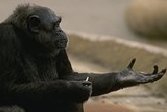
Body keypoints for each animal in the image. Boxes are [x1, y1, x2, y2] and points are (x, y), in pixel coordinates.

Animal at [0, 3, 165, 112]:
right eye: (56, 25)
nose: (61, 31)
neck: (32, 42)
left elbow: (68, 75)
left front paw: (125, 76)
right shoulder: (7, 38)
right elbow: (9, 87)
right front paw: (71, 88)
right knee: (12, 107)